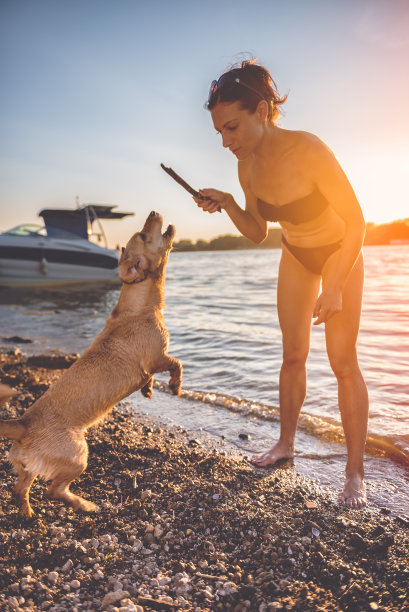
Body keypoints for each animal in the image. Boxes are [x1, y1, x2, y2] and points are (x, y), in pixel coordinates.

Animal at [0, 210, 182, 516]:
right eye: (144, 235)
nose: (153, 212)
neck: (138, 306)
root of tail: (24, 423)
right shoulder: (158, 357)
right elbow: (177, 364)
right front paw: (175, 386)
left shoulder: (152, 364)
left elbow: (150, 378)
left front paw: (148, 390)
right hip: (79, 455)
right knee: (53, 490)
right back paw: (84, 505)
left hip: (30, 466)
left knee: (19, 489)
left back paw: (28, 514)